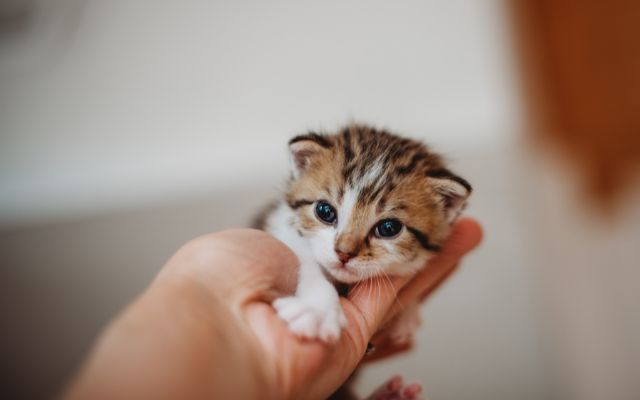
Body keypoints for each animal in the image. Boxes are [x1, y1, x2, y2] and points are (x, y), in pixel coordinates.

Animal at [255, 124, 470, 344]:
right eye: (325, 211)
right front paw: (317, 310)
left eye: (389, 228)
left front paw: (406, 314)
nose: (343, 253)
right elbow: (306, 261)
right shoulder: (280, 226)